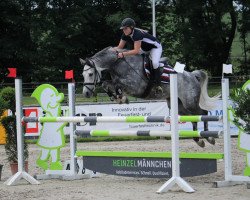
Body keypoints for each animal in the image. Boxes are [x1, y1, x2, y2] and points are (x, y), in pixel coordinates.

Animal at [80, 47, 219, 147]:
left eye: (91, 74)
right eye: (83, 75)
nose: (86, 94)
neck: (118, 64)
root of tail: (192, 75)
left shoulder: (136, 86)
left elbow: (115, 83)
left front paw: (121, 97)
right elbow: (107, 84)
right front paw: (118, 97)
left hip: (190, 102)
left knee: (203, 113)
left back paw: (209, 137)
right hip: (179, 105)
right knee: (193, 118)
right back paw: (199, 140)